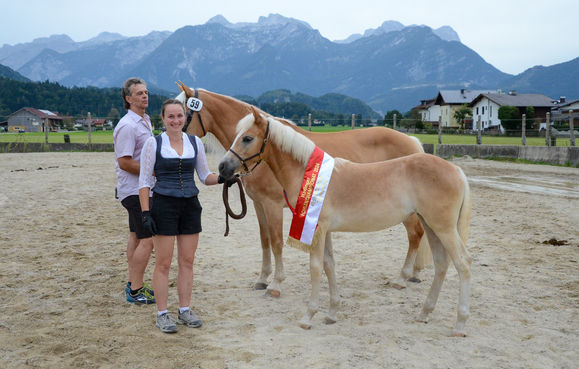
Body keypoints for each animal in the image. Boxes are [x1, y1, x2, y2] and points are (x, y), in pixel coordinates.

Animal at [174, 82, 432, 294]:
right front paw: (262, 279)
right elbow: (264, 240)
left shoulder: (272, 205)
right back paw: (415, 273)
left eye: (182, 114)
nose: (223, 167)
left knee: (415, 234)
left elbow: (276, 241)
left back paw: (403, 277)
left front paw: (276, 282)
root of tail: (412, 142)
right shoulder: (259, 204)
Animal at [220, 108, 474, 334]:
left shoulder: (317, 229)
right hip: (431, 226)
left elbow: (315, 268)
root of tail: (457, 171)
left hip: (443, 228)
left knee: (462, 263)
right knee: (441, 263)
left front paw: (308, 317)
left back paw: (460, 324)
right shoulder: (326, 231)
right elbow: (329, 265)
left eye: (248, 138)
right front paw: (332, 313)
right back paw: (424, 313)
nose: (223, 167)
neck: (306, 172)